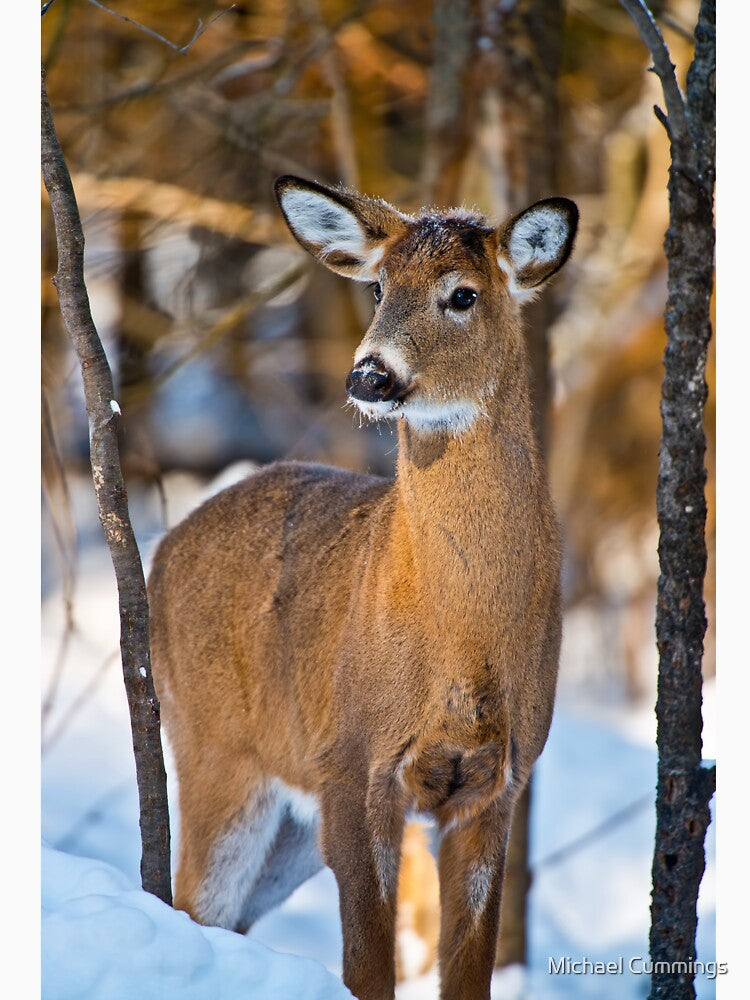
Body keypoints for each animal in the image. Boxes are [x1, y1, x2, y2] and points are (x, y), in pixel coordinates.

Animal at [147, 174, 578, 1000]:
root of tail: (163, 552)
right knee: (193, 904)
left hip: (285, 817)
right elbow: (367, 967)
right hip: (216, 748)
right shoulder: (351, 760)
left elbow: (465, 970)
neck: (460, 636)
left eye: (463, 294)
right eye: (377, 287)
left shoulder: (498, 784)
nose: (370, 375)